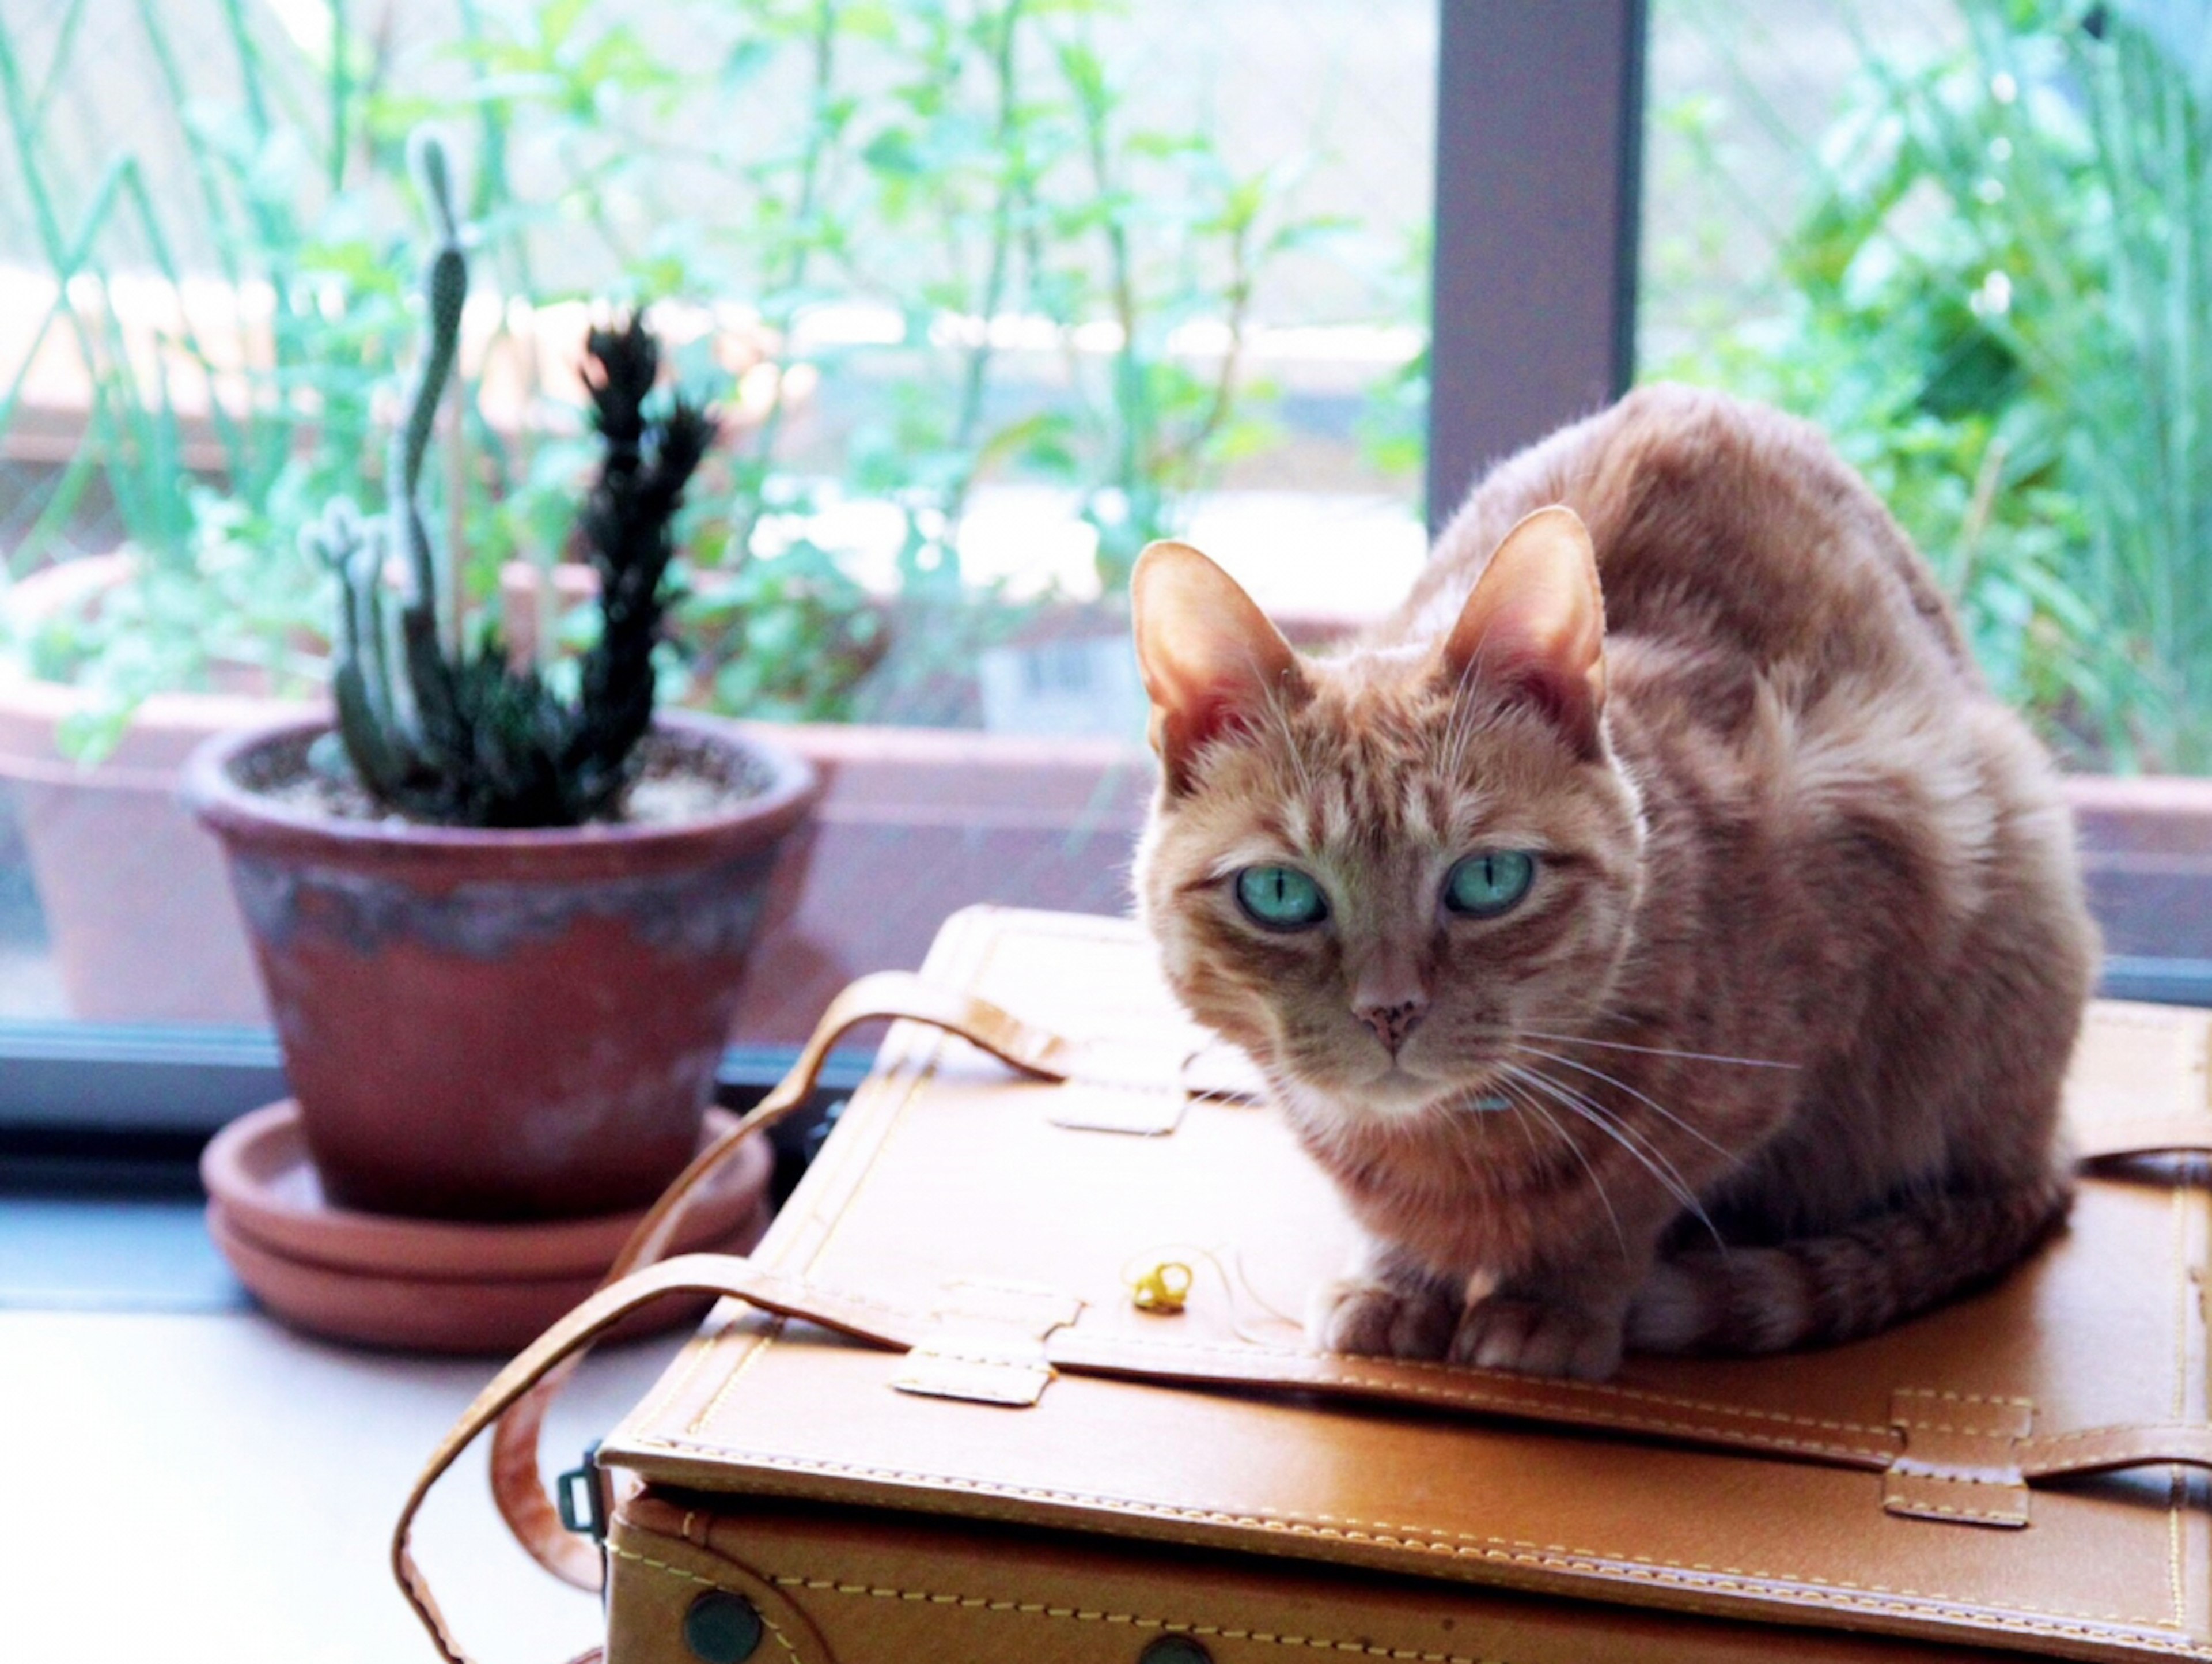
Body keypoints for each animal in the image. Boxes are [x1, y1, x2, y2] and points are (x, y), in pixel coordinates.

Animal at [1132, 387, 2097, 1381]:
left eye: (1489, 879)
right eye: (1281, 896)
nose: (1389, 1010)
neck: (1450, 1149)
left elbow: (1620, 1208)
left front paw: (1554, 1304)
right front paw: (1396, 1280)